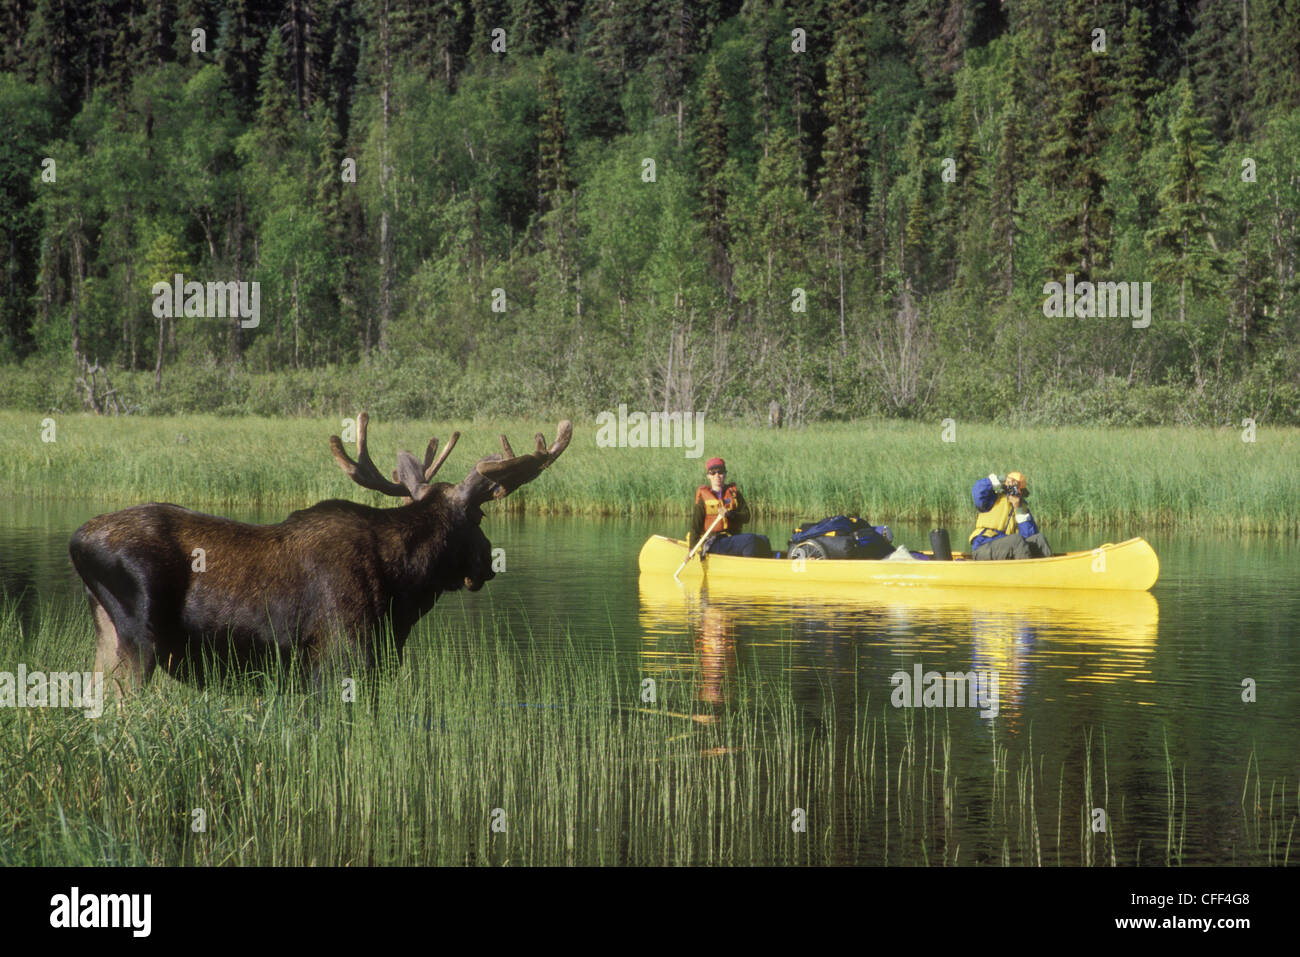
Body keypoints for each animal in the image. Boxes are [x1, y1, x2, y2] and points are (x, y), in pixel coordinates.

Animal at [68, 412, 572, 695]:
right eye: (481, 516)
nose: (488, 563)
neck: (404, 588)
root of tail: (76, 541)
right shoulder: (342, 657)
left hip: (106, 637)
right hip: (139, 641)